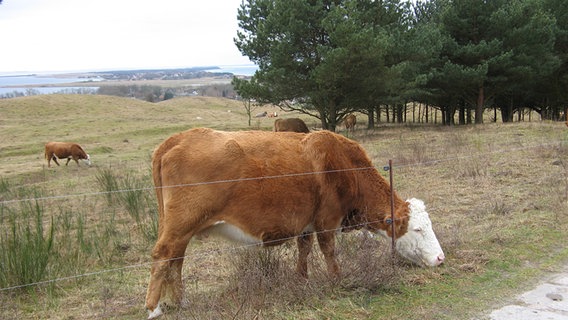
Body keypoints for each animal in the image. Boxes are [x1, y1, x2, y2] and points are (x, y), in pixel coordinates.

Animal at [144, 127, 446, 318]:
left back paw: (180, 302)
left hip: (181, 230)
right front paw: (337, 280)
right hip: (180, 225)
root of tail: (177, 139)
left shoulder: (306, 222)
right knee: (162, 256)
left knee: (175, 260)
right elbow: (328, 251)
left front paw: (301, 279)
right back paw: (153, 308)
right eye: (417, 229)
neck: (344, 165)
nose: (441, 258)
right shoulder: (326, 220)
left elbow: (305, 248)